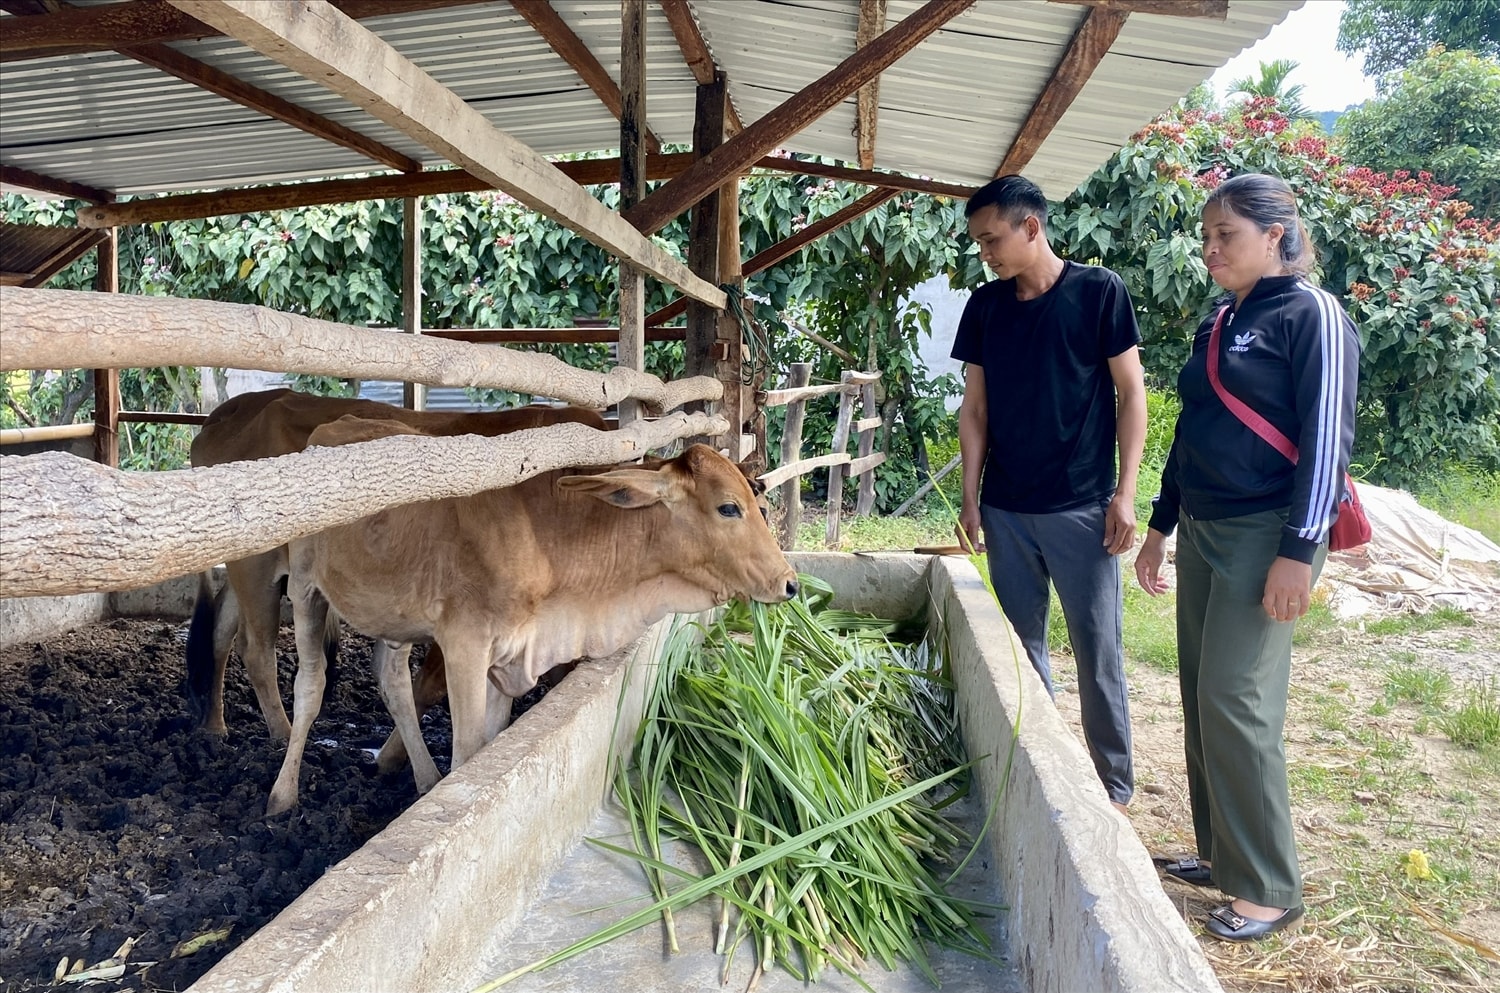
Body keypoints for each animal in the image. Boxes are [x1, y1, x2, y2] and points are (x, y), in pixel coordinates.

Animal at [184, 390, 606, 738]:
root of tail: (224, 413)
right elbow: (433, 683)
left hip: (248, 567)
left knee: (220, 629)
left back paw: (214, 725)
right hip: (255, 567)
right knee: (256, 650)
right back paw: (283, 735)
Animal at [268, 417, 804, 816]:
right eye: (729, 508)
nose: (789, 583)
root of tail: (331, 427)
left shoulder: (509, 655)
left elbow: (489, 745)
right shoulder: (465, 644)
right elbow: (468, 753)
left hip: (392, 616)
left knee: (394, 683)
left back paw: (422, 777)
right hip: (305, 588)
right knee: (310, 686)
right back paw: (282, 796)